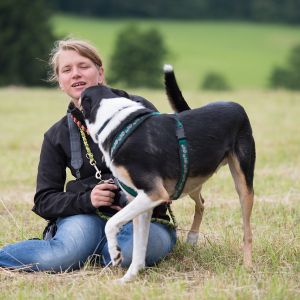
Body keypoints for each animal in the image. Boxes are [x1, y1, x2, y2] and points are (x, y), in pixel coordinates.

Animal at [79, 64, 255, 282]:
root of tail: (236, 106)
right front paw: (129, 278)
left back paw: (248, 266)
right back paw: (192, 238)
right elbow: (139, 248)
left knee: (247, 231)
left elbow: (111, 223)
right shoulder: (142, 201)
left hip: (242, 183)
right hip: (192, 180)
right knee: (201, 203)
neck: (115, 123)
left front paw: (116, 253)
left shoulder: (154, 193)